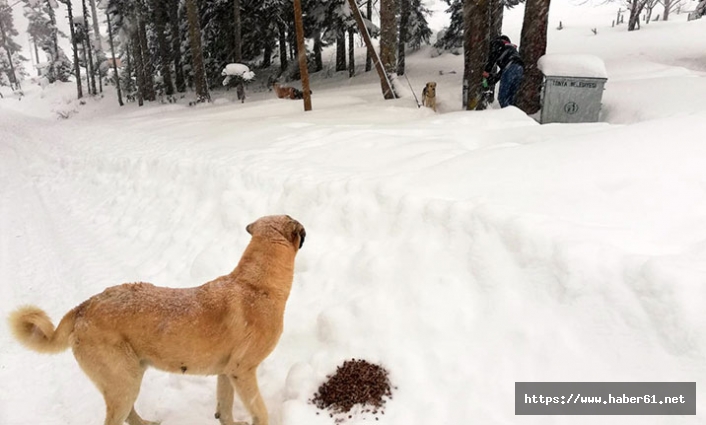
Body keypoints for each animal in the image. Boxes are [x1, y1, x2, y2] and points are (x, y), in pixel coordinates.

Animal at [7, 214, 306, 424]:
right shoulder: (242, 371)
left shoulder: (226, 372)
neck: (255, 284)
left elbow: (225, 409)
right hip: (124, 382)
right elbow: (260, 411)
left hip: (130, 376)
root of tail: (83, 307)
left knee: (130, 416)